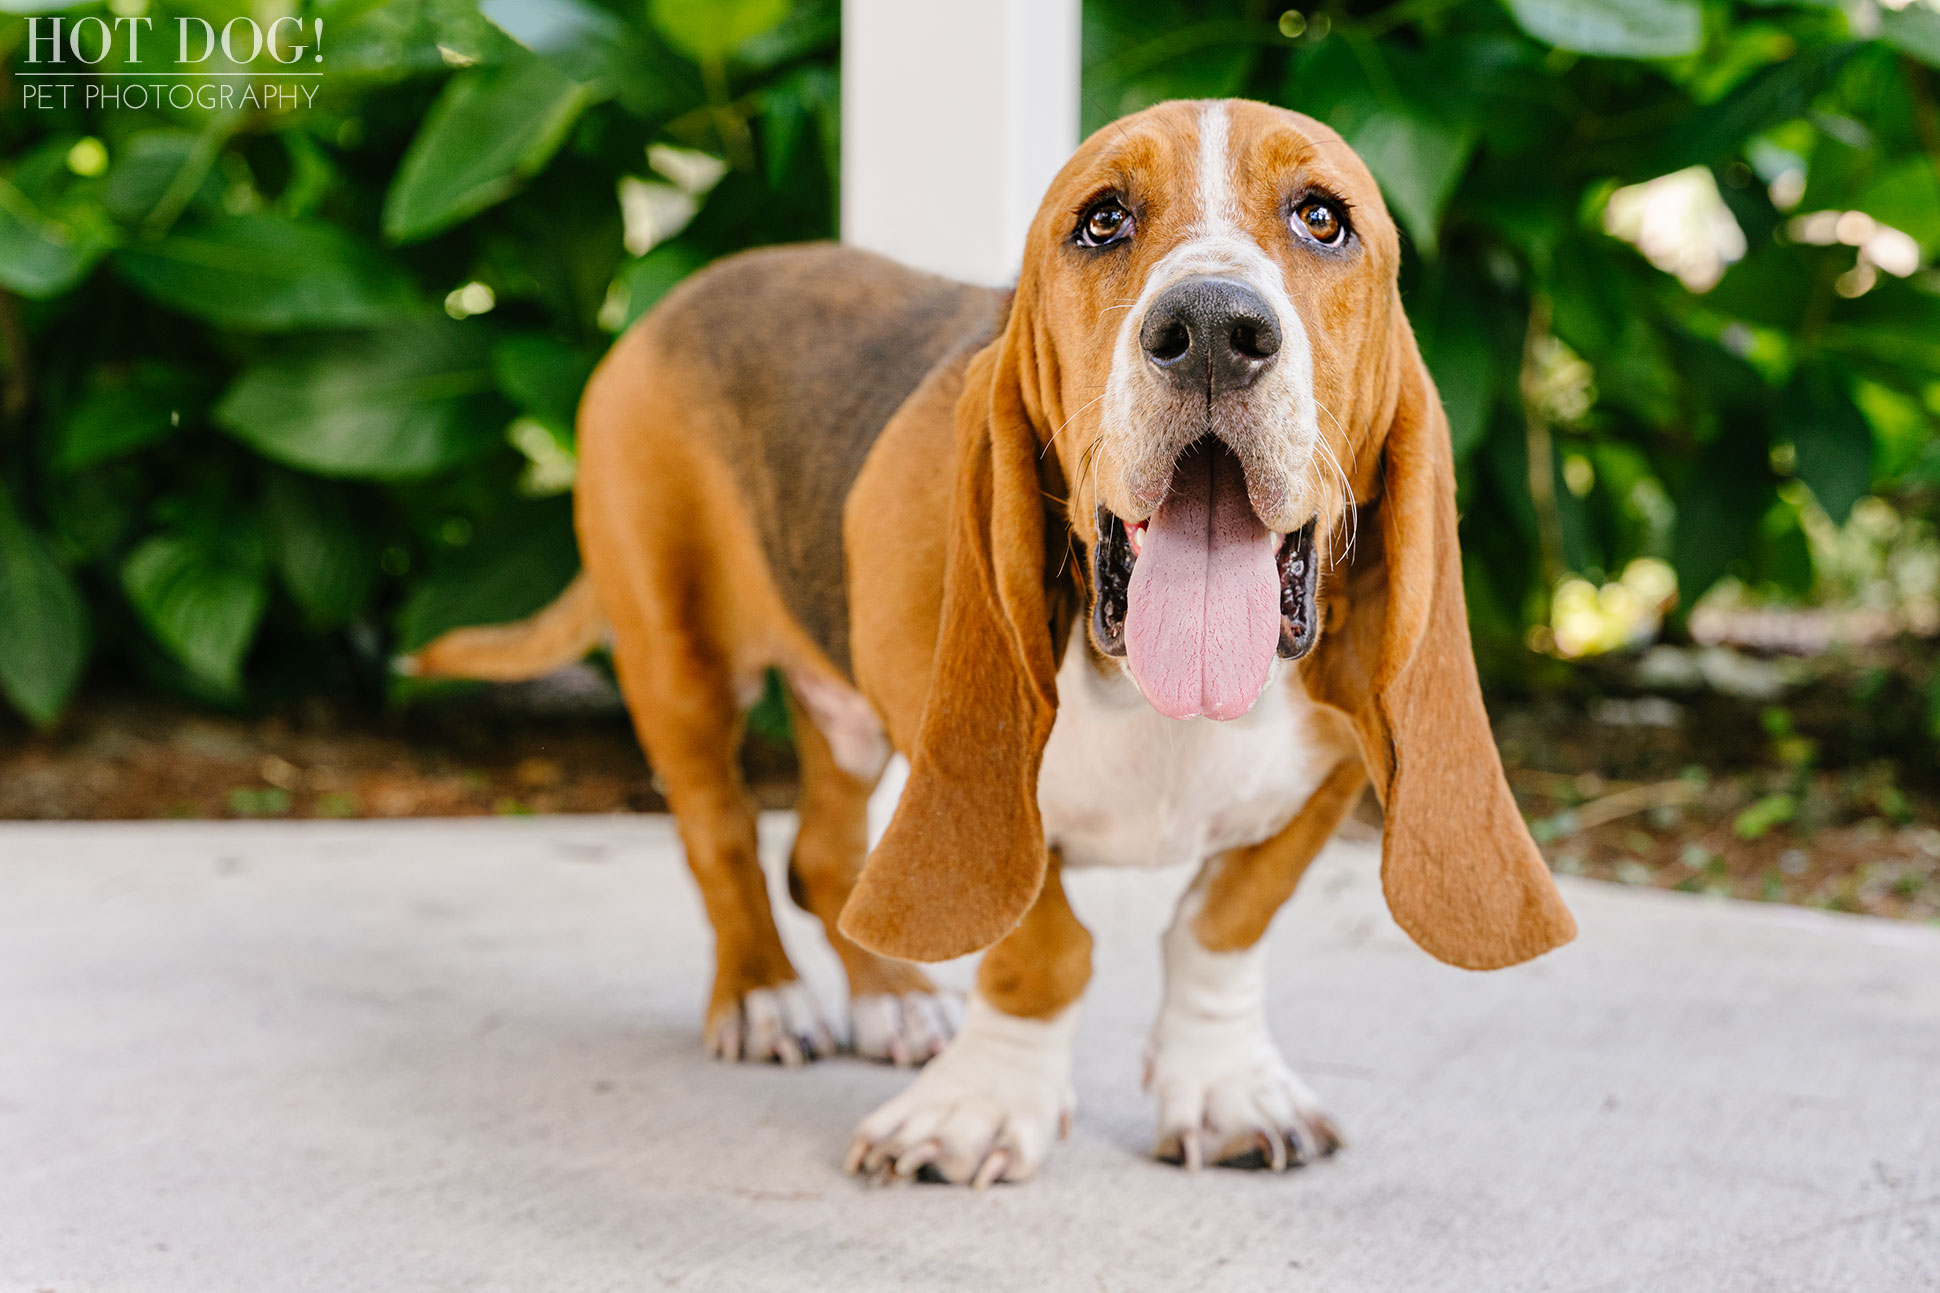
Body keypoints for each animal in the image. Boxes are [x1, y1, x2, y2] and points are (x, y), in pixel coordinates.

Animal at [409, 98, 1575, 1188]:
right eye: (1102, 221)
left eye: (1322, 220)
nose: (1210, 326)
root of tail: (672, 305)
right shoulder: (985, 788)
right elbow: (1038, 942)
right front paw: (975, 1111)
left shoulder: (1324, 783)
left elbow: (1218, 928)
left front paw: (1226, 1090)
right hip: (680, 662)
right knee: (724, 839)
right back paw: (764, 997)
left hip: (844, 717)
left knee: (825, 855)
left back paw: (890, 1002)